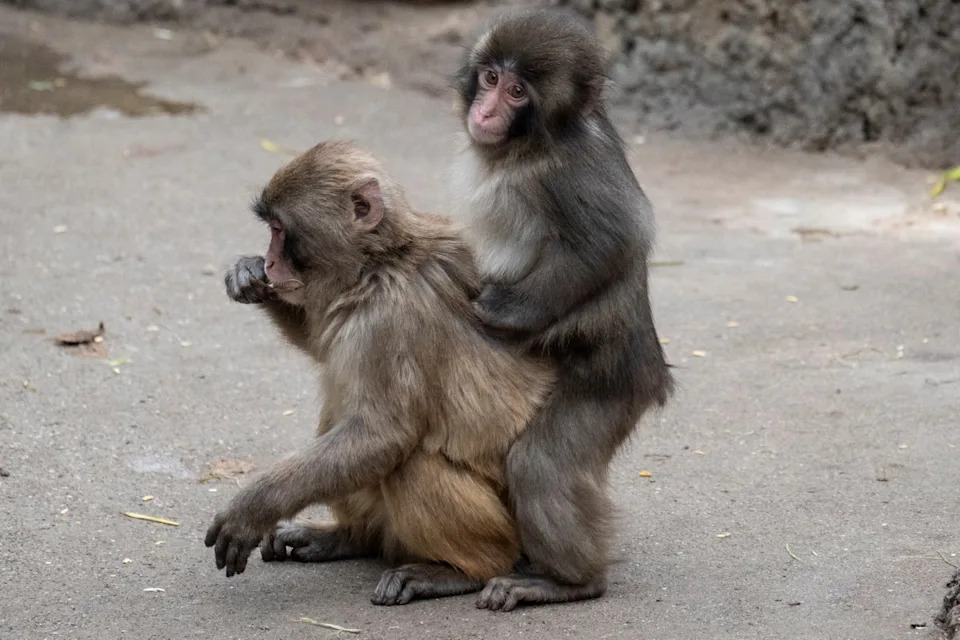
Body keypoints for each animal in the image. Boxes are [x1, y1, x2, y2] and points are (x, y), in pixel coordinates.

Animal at [204, 141, 555, 606]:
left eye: (280, 229)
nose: (273, 261)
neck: (379, 263)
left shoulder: (390, 316)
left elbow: (382, 435)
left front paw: (253, 507)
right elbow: (319, 342)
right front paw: (246, 273)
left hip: (500, 528)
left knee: (407, 462)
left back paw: (462, 571)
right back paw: (351, 538)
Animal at [450, 9, 675, 611]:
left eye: (517, 91)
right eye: (490, 78)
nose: (485, 111)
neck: (528, 147)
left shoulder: (567, 171)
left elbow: (615, 239)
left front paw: (503, 310)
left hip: (611, 387)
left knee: (541, 465)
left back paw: (569, 582)